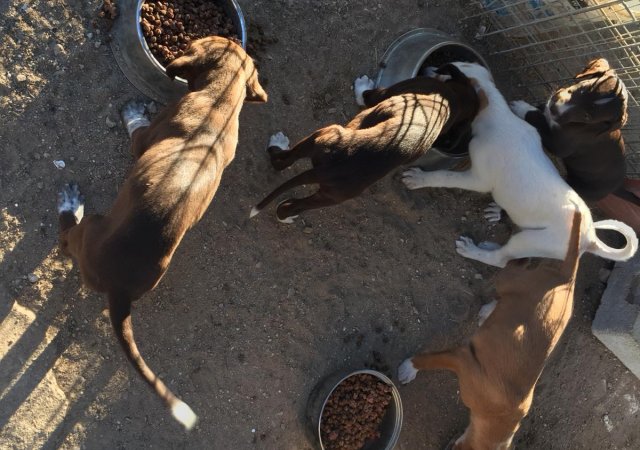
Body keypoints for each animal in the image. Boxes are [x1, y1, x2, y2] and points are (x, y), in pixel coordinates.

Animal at [57, 37, 267, 429]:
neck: (220, 100)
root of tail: (120, 289)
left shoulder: (142, 142)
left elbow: (136, 128)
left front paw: (133, 112)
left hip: (91, 227)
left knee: (66, 239)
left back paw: (69, 205)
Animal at [249, 66, 479, 223]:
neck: (455, 101)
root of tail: (333, 168)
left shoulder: (386, 93)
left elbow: (369, 95)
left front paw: (362, 85)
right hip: (330, 187)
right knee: (288, 173)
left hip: (327, 139)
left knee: (285, 180)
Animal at [398, 208, 583, 450]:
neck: (500, 418)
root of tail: (567, 281)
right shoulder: (462, 359)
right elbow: (429, 360)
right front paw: (409, 367)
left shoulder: (463, 360)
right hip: (510, 279)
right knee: (510, 260)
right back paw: (480, 248)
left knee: (516, 261)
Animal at [509, 58, 630, 203]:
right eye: (583, 88)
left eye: (587, 116)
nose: (554, 107)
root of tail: (618, 187)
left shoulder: (560, 145)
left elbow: (539, 122)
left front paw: (522, 107)